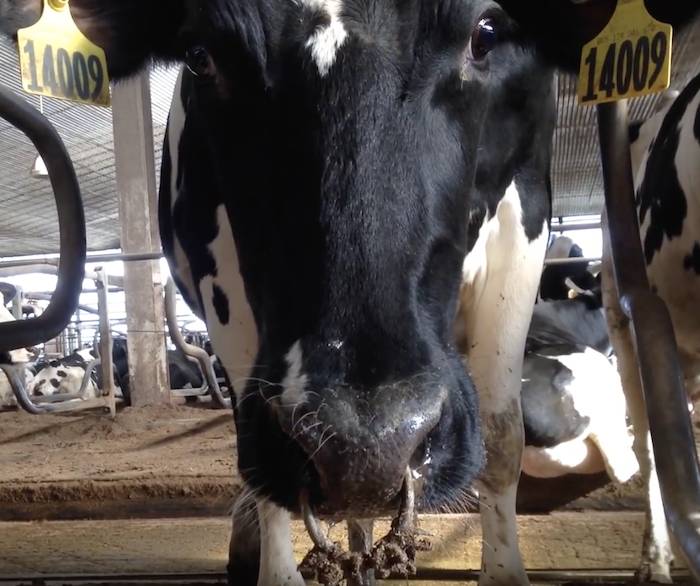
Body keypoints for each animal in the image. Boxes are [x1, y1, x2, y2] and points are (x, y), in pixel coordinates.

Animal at [2, 2, 698, 585]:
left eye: (486, 32)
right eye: (201, 55)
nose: (368, 447)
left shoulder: (522, 222)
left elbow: (501, 438)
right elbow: (261, 472)